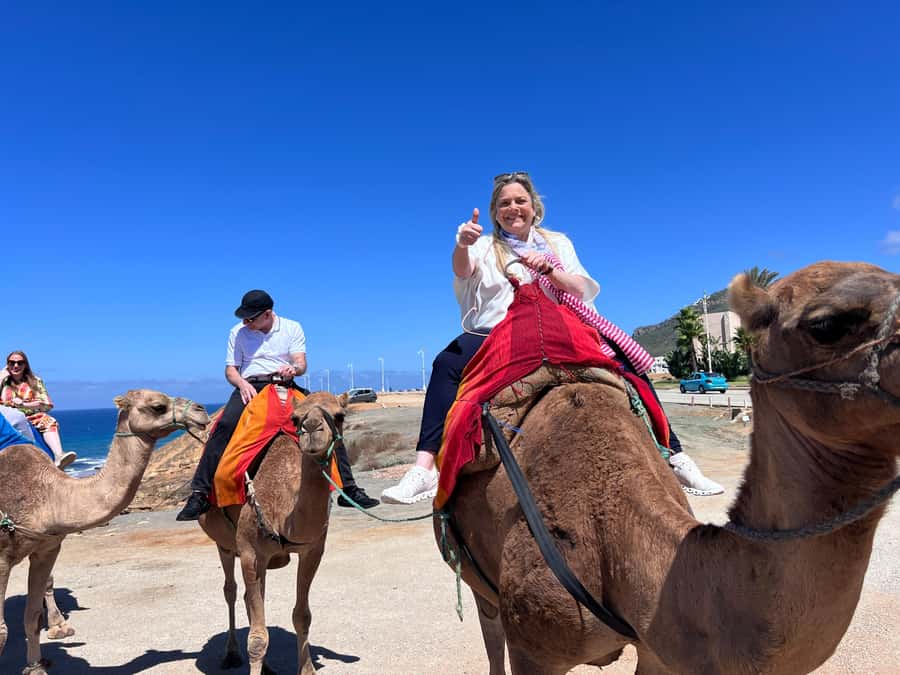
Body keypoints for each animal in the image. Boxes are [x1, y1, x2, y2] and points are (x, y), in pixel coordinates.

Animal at [0, 389, 209, 675]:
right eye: (158, 406)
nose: (201, 411)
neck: (48, 496)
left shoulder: (47, 548)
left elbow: (31, 616)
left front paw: (35, 667)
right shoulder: (1, 558)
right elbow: (1, 630)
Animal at [199, 390, 348, 675]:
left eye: (340, 415)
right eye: (296, 418)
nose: (312, 428)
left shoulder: (312, 549)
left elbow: (301, 616)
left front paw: (307, 669)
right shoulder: (248, 550)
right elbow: (257, 638)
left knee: (254, 597)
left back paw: (267, 666)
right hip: (225, 545)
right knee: (231, 590)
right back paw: (230, 654)